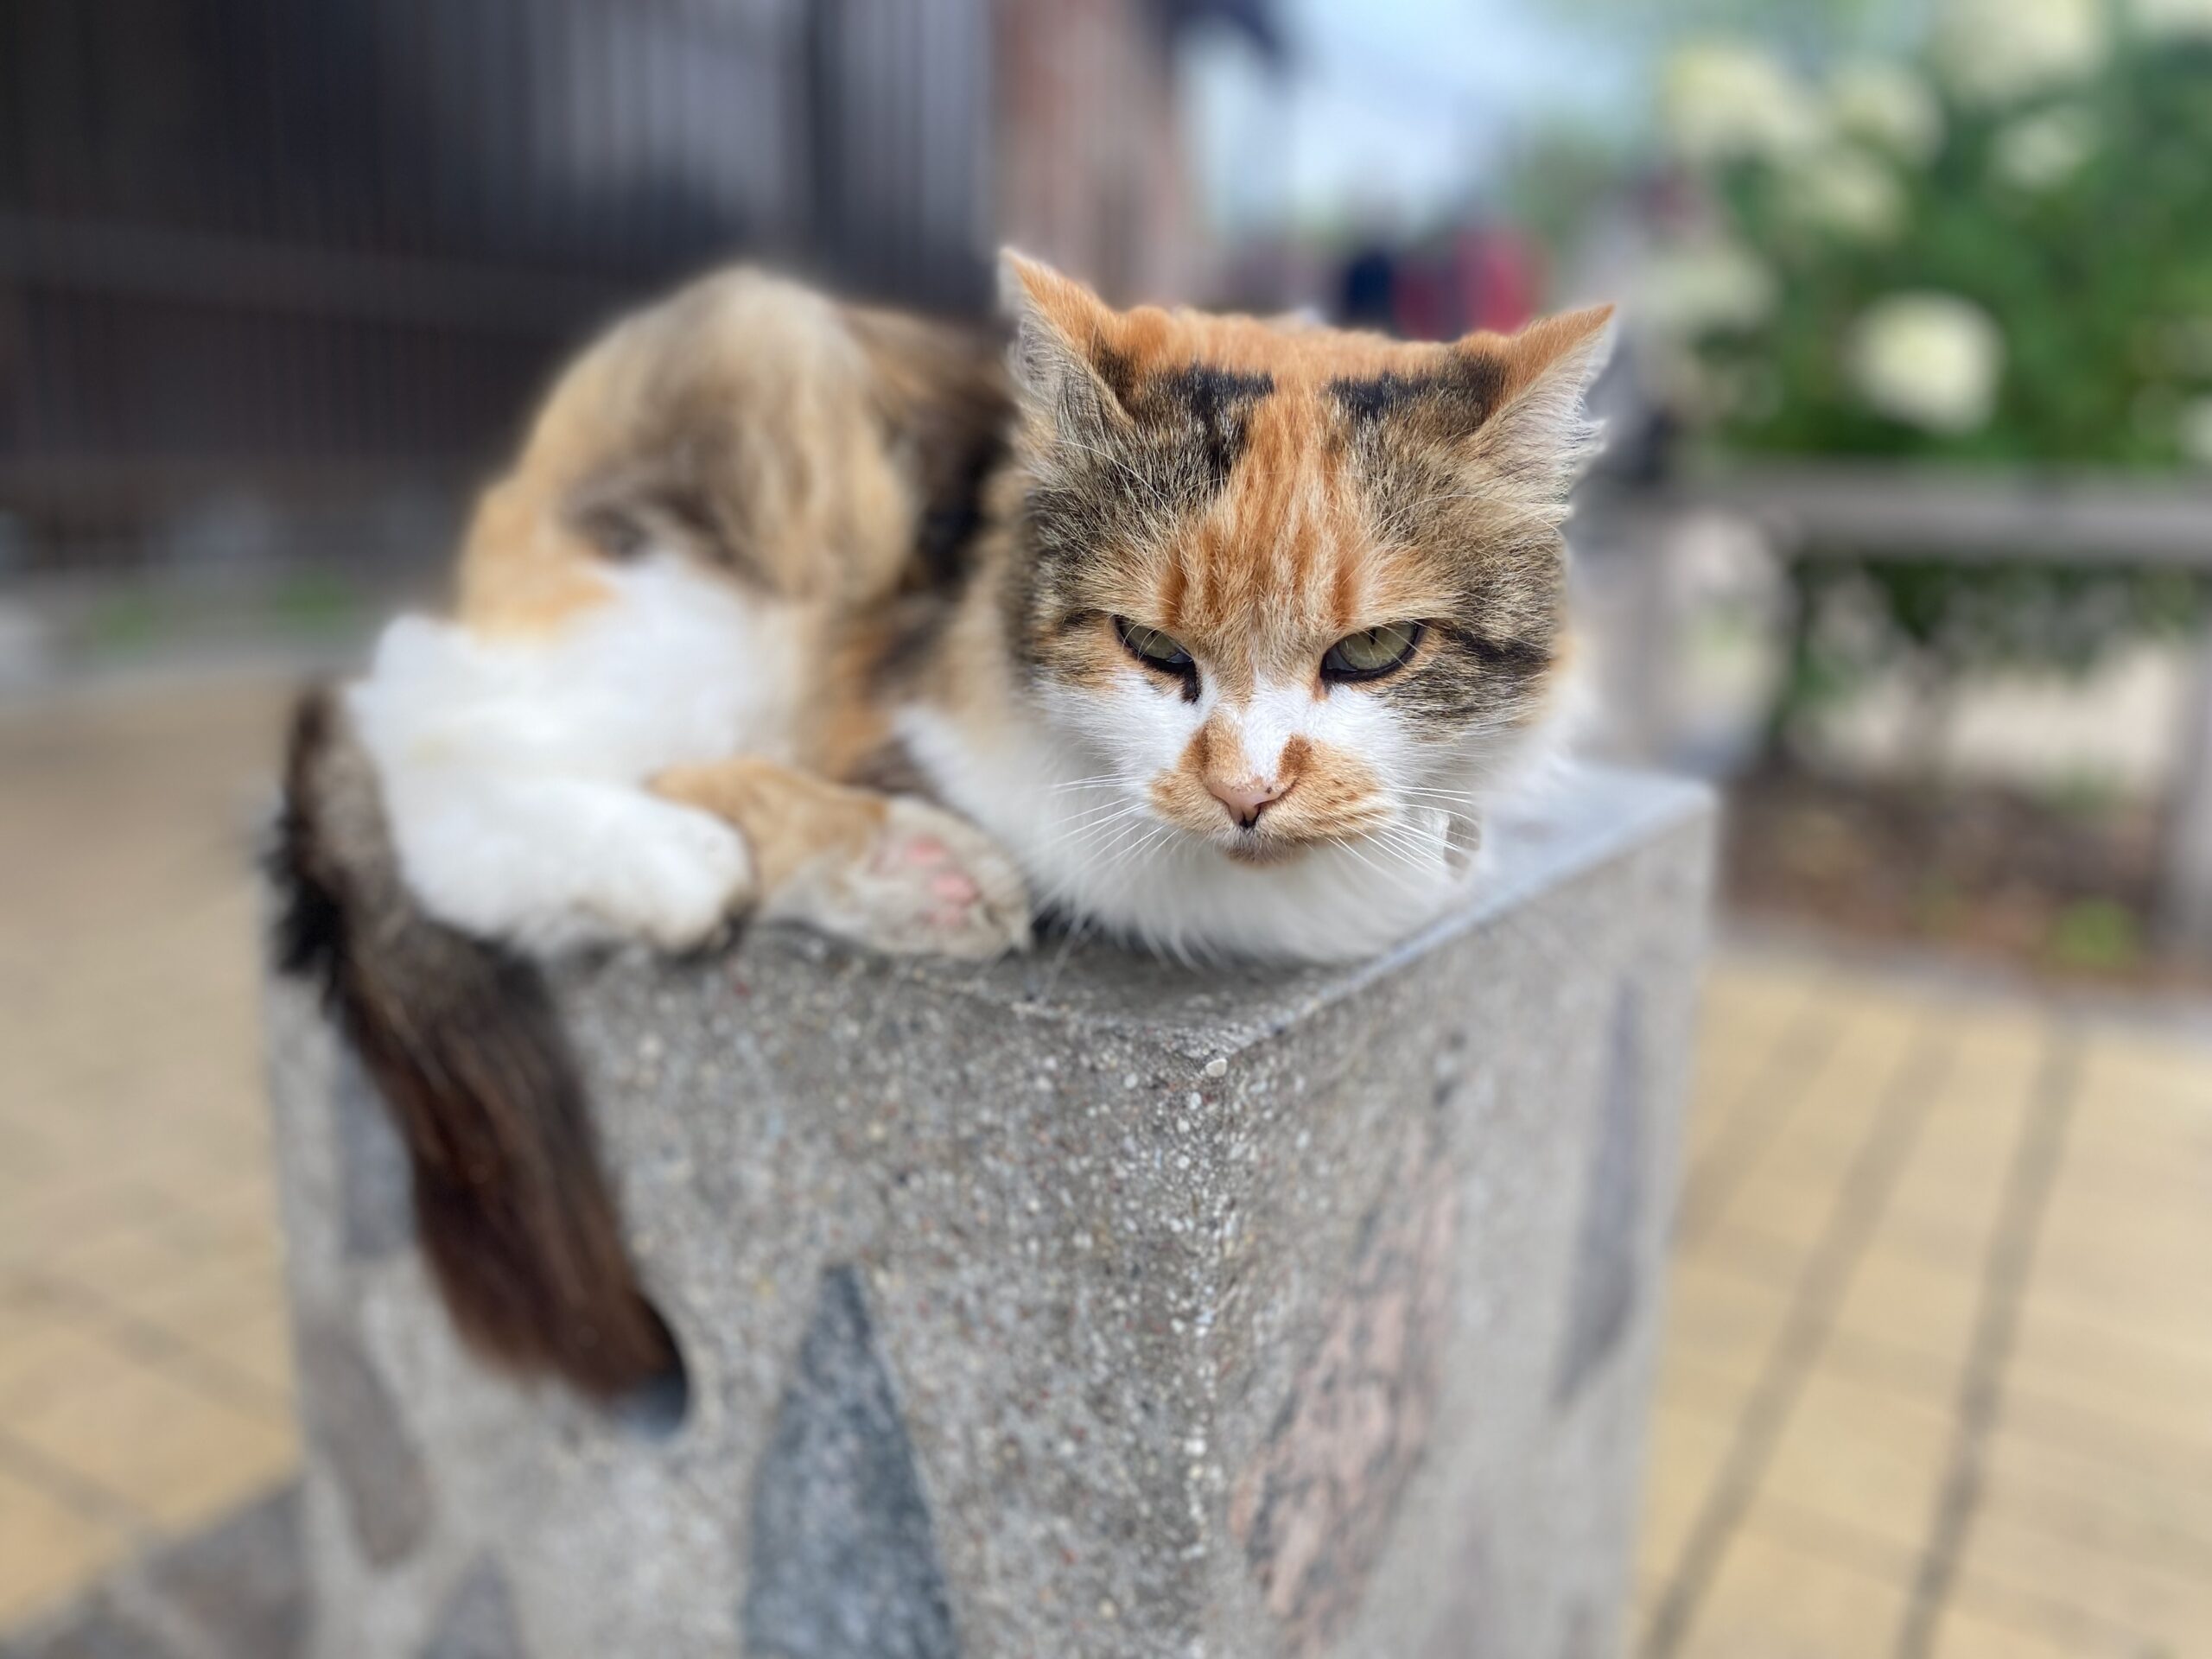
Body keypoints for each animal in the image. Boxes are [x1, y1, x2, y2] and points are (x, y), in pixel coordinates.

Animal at [276, 253, 1610, 1397]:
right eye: (1150, 647)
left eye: (1375, 651)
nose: (1245, 792)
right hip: (768, 465)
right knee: (431, 736)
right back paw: (733, 867)